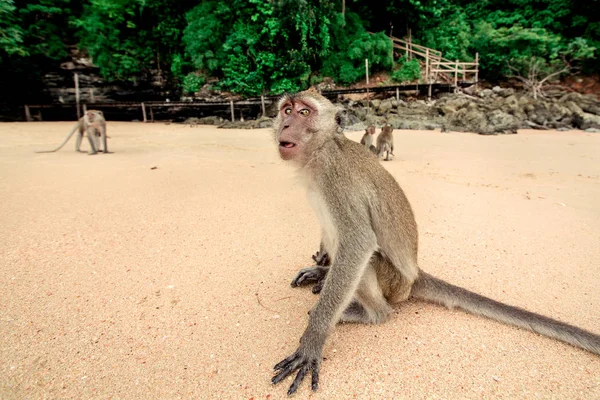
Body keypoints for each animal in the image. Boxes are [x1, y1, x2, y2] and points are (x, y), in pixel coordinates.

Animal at [270, 90, 600, 394]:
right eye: (287, 109)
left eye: (304, 112)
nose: (285, 124)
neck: (319, 152)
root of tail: (415, 275)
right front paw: (322, 265)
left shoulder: (334, 174)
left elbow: (358, 242)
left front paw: (312, 342)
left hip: (394, 283)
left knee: (368, 264)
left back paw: (371, 313)